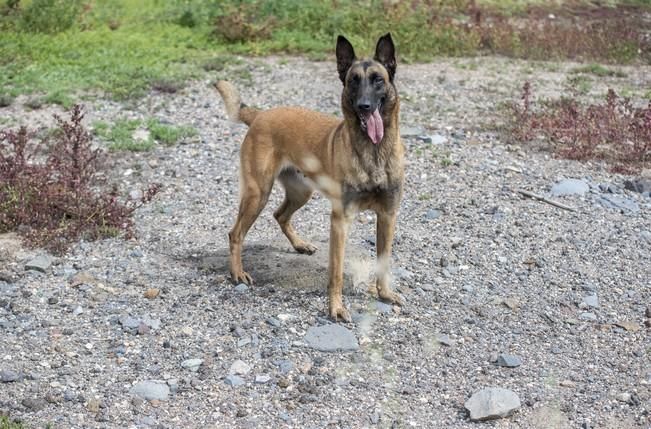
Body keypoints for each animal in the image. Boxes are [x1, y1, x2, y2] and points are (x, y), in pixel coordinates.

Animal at [216, 34, 404, 320]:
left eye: (377, 79)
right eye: (353, 81)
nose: (364, 106)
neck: (374, 152)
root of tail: (260, 114)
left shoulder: (388, 216)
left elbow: (383, 263)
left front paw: (385, 294)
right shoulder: (341, 220)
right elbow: (336, 272)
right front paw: (336, 308)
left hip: (301, 192)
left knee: (280, 215)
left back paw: (300, 245)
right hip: (257, 193)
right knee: (235, 233)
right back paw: (237, 272)